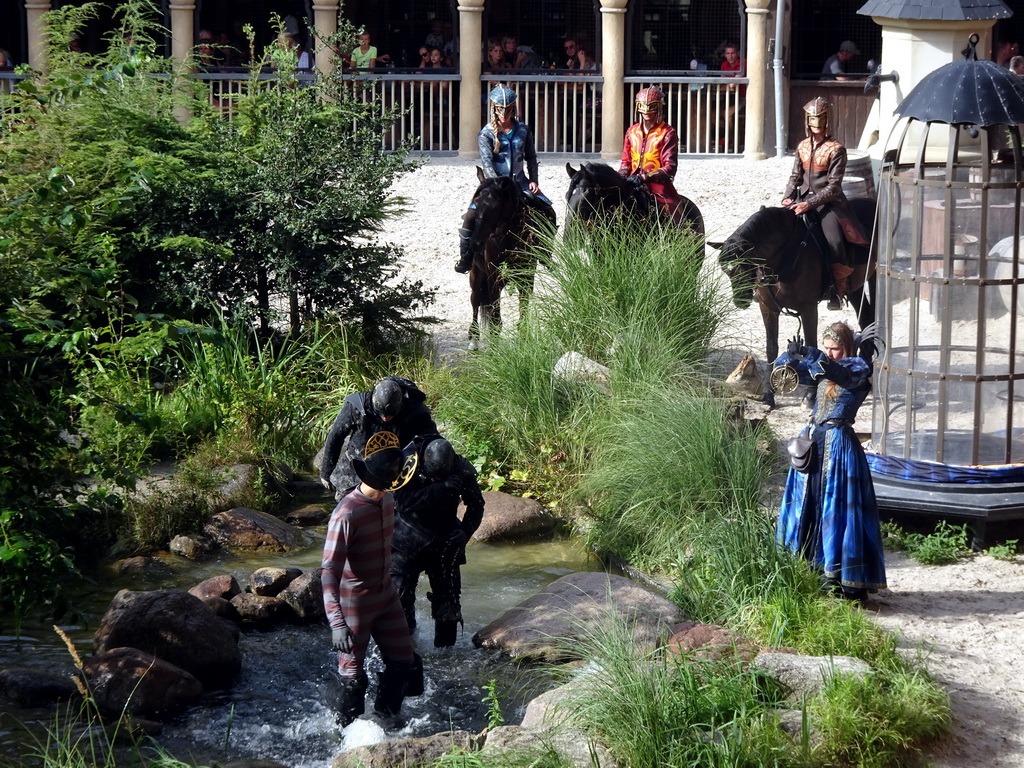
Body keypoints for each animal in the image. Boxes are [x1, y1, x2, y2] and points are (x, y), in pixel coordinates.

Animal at [464, 168, 544, 352]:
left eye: (494, 206)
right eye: (476, 203)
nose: (475, 243)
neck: (510, 238)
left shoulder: (527, 277)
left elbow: (523, 311)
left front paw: (524, 340)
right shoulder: (493, 277)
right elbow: (495, 319)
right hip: (476, 277)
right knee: (475, 303)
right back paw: (473, 341)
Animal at [708, 198, 876, 409]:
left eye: (746, 265)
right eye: (725, 270)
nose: (740, 301)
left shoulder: (808, 308)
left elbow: (812, 345)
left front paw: (811, 395)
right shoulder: (768, 308)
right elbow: (771, 348)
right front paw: (769, 395)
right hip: (855, 287)